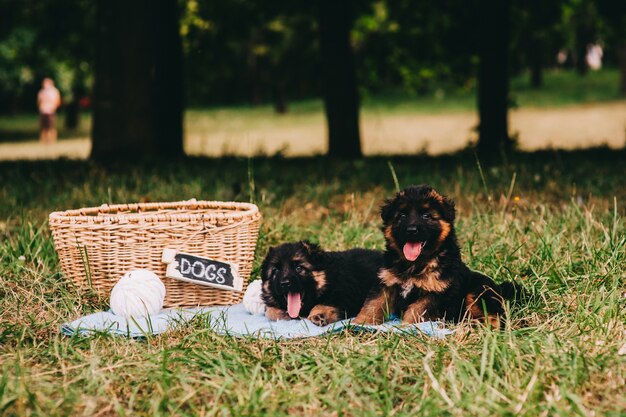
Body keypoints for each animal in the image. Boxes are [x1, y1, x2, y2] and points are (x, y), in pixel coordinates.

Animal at [354, 186, 520, 328]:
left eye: (426, 216)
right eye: (402, 215)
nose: (411, 230)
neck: (414, 264)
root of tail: (500, 289)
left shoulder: (435, 293)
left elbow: (416, 312)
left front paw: (405, 328)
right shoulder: (386, 283)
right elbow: (373, 305)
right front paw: (360, 323)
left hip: (478, 292)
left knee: (495, 316)